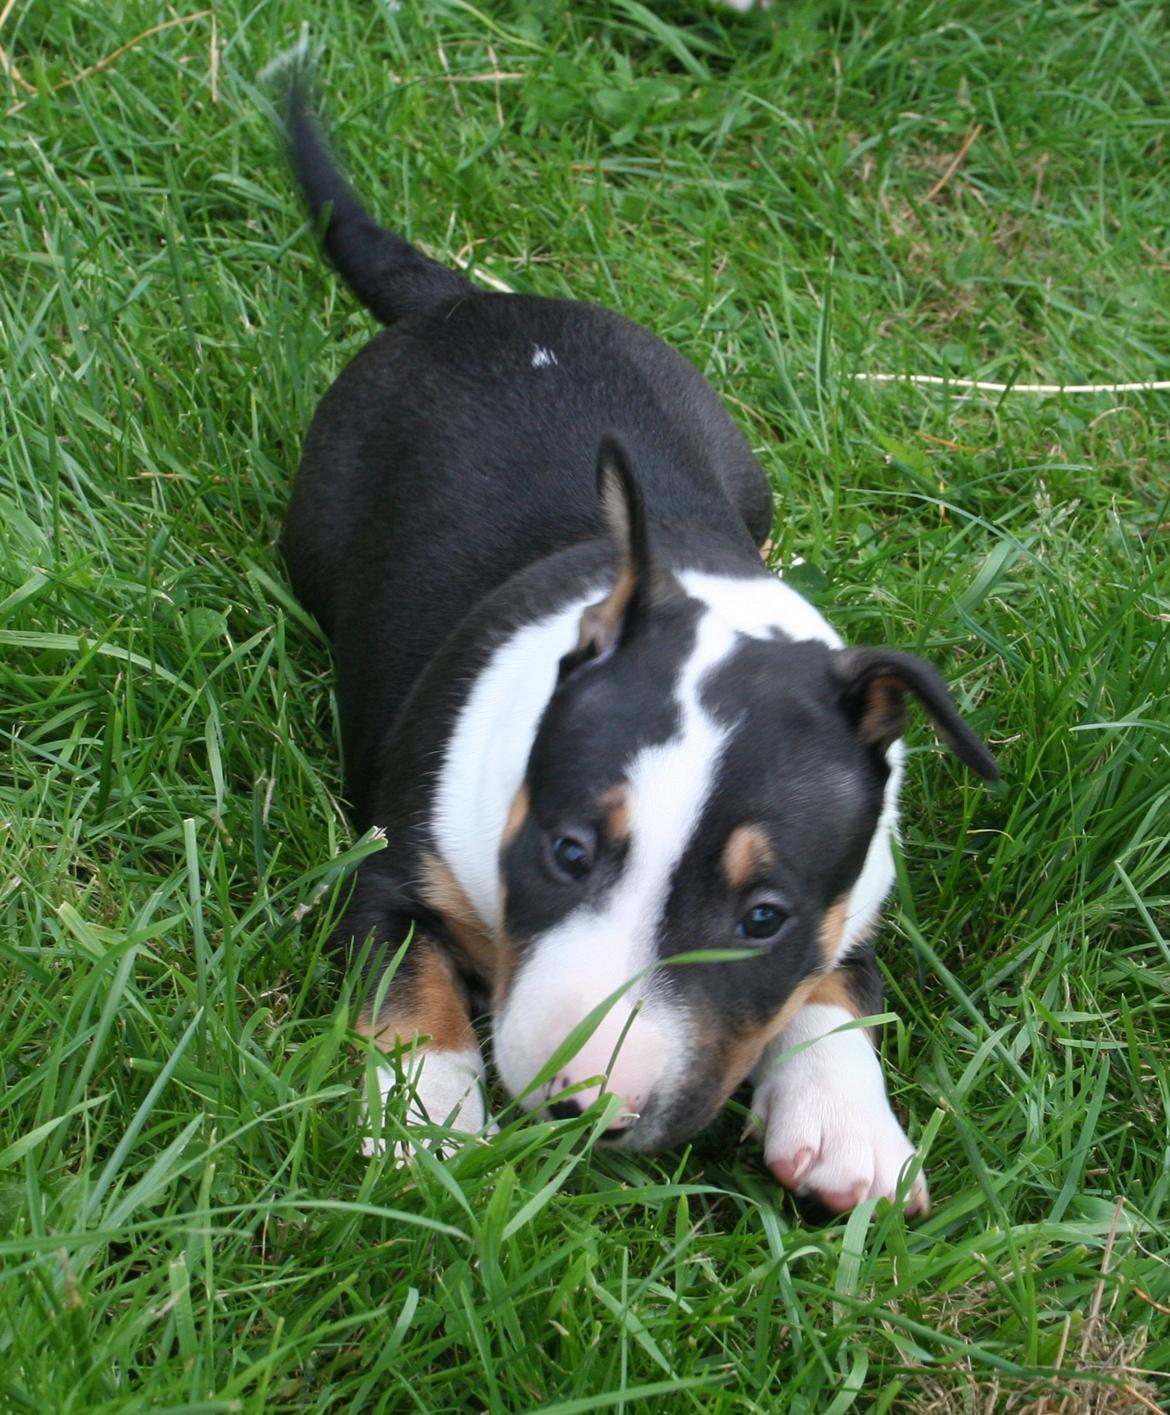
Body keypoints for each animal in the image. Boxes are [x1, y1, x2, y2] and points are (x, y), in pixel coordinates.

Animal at [284, 91, 995, 1216]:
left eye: (763, 914)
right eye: (570, 852)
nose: (586, 1108)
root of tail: (471, 303)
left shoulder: (855, 898)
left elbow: (836, 983)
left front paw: (850, 1132)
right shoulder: (386, 867)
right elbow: (410, 988)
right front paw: (427, 1127)